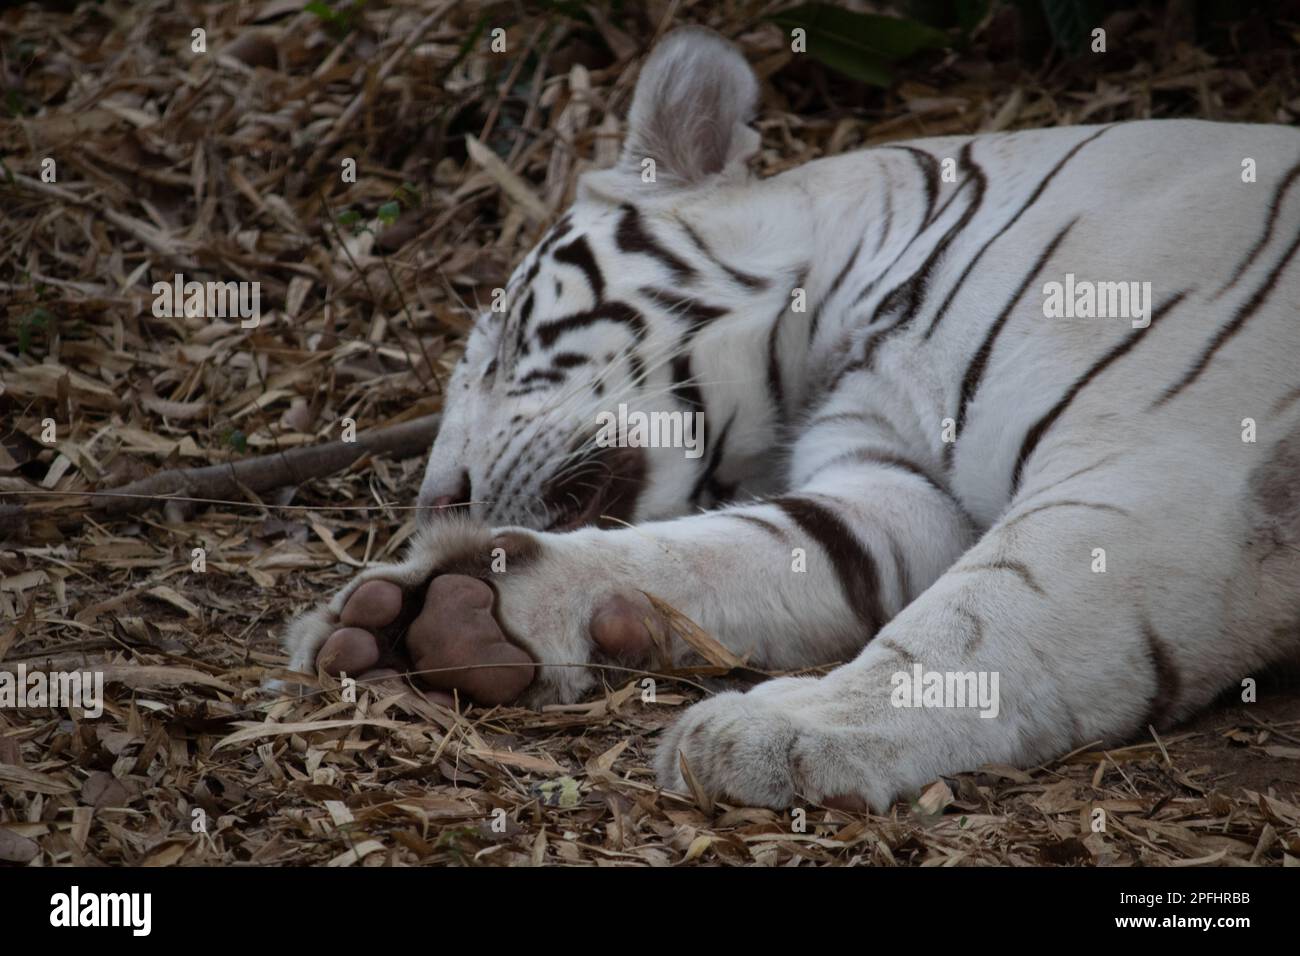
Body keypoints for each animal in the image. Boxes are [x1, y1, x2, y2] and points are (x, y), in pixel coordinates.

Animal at [280, 26, 1300, 811]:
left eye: (499, 346)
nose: (439, 500)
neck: (845, 324)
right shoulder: (895, 487)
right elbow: (738, 550)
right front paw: (452, 614)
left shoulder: (1159, 474)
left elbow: (982, 613)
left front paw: (783, 729)